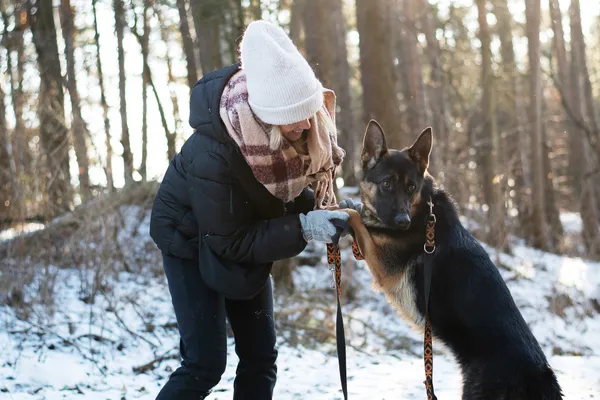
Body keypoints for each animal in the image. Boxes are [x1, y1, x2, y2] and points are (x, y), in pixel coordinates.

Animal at [342, 120, 564, 398]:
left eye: (411, 187)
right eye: (387, 184)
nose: (403, 222)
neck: (422, 212)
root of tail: (543, 378)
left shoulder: (385, 265)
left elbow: (356, 219)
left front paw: (333, 208)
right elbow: (360, 216)